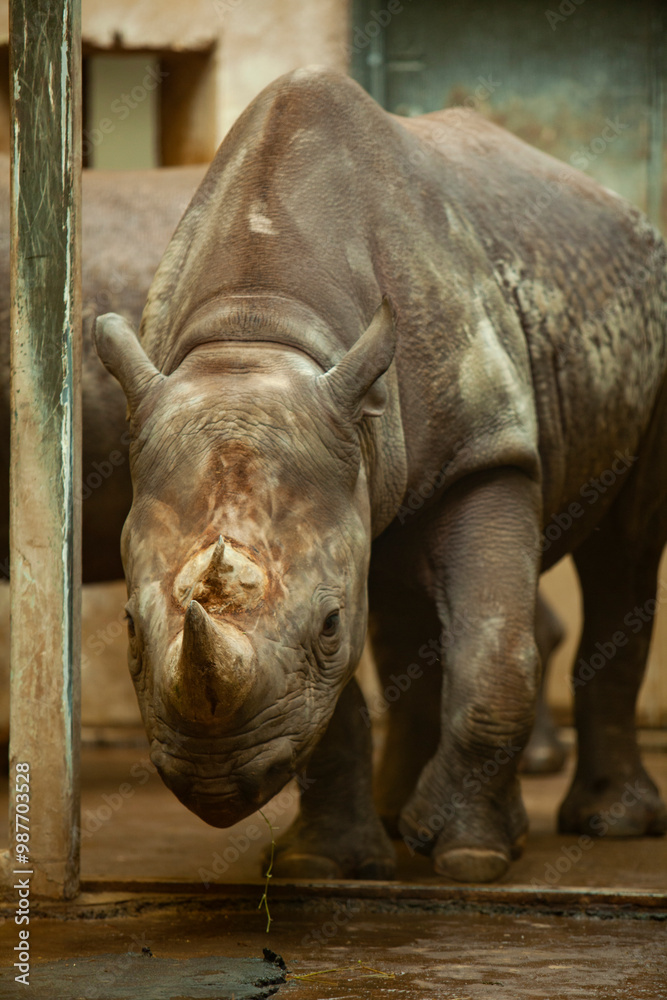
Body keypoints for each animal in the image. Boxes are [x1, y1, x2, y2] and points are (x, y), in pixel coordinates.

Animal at [95, 67, 666, 883]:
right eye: (130, 628)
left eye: (331, 626)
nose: (215, 781)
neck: (256, 337)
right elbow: (331, 702)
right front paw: (325, 865)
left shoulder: (485, 453)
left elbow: (494, 648)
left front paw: (471, 858)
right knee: (398, 582)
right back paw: (399, 821)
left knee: (624, 548)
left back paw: (604, 826)